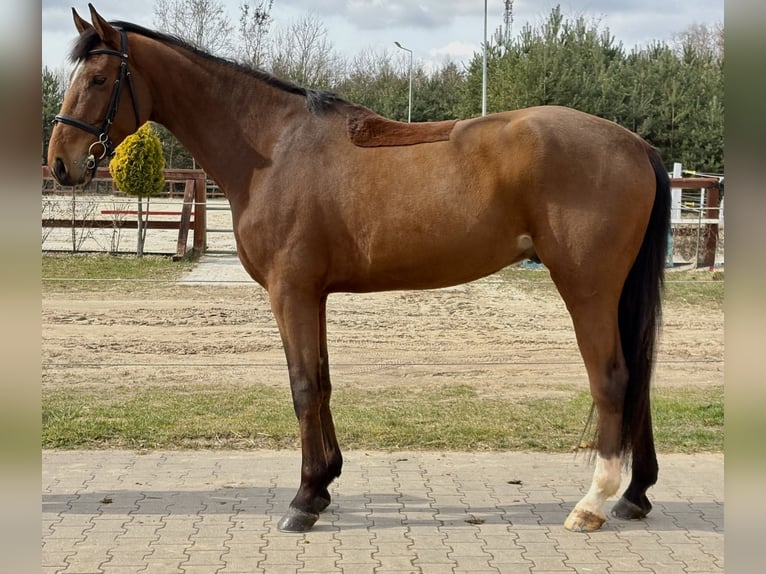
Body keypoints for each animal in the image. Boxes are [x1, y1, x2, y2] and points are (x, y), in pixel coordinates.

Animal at [47, 4, 670, 533]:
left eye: (98, 80)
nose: (60, 163)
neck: (274, 148)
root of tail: (637, 145)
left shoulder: (291, 292)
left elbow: (302, 386)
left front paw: (303, 501)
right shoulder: (314, 295)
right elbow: (322, 381)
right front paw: (323, 486)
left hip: (587, 288)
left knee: (613, 378)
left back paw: (593, 502)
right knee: (639, 379)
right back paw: (635, 495)